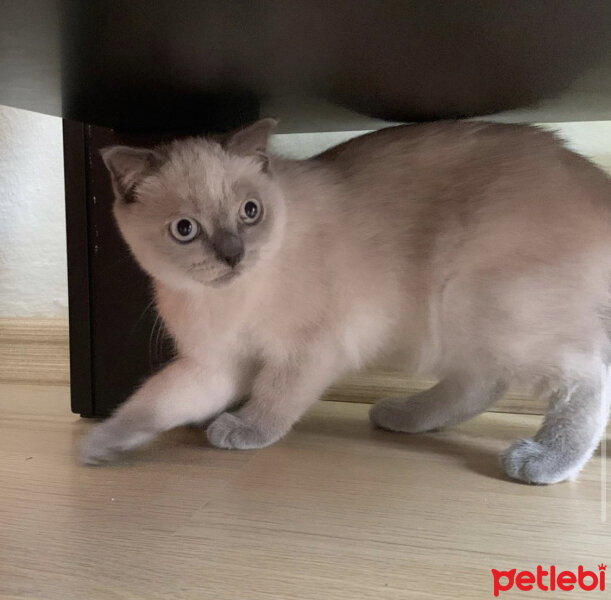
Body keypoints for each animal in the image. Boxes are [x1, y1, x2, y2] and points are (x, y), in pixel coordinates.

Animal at [82, 119, 611, 486]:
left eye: (250, 212)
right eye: (184, 229)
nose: (233, 255)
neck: (228, 300)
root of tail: (594, 178)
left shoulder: (308, 349)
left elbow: (276, 397)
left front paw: (244, 430)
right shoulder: (216, 365)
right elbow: (153, 403)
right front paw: (100, 444)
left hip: (478, 306)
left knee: (587, 375)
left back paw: (542, 460)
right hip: (465, 322)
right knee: (481, 383)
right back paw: (403, 416)